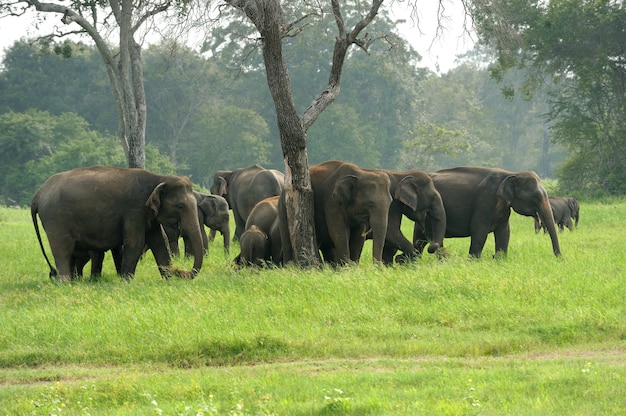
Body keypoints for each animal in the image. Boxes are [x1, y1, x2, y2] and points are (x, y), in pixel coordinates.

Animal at [31, 165, 204, 280]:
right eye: (180, 206)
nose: (181, 272)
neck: (158, 178)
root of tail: (38, 194)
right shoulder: (134, 210)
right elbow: (135, 243)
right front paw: (126, 281)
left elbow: (159, 242)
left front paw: (168, 279)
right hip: (55, 219)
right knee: (63, 250)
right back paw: (66, 283)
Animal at [414, 165, 560, 256]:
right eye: (536, 196)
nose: (560, 259)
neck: (511, 173)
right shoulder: (485, 201)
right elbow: (479, 230)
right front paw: (472, 262)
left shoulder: (504, 208)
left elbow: (504, 232)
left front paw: (500, 260)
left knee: (419, 239)